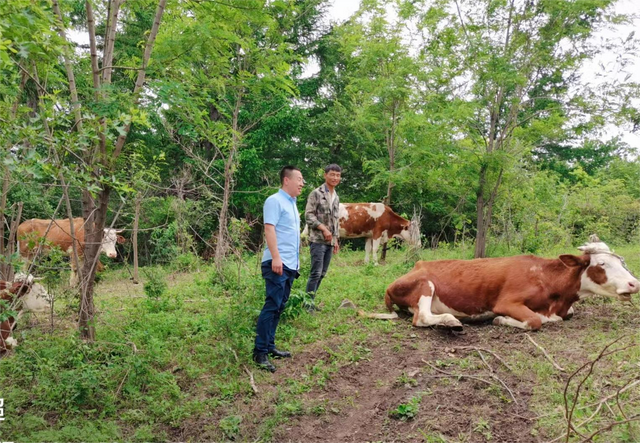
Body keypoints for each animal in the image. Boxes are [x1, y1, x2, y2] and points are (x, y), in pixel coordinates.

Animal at [378, 238, 636, 332]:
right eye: (601, 263)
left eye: (620, 261)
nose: (635, 283)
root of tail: (416, 265)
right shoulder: (507, 302)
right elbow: (533, 321)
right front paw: (501, 320)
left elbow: (566, 314)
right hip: (425, 284)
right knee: (421, 317)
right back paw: (451, 321)